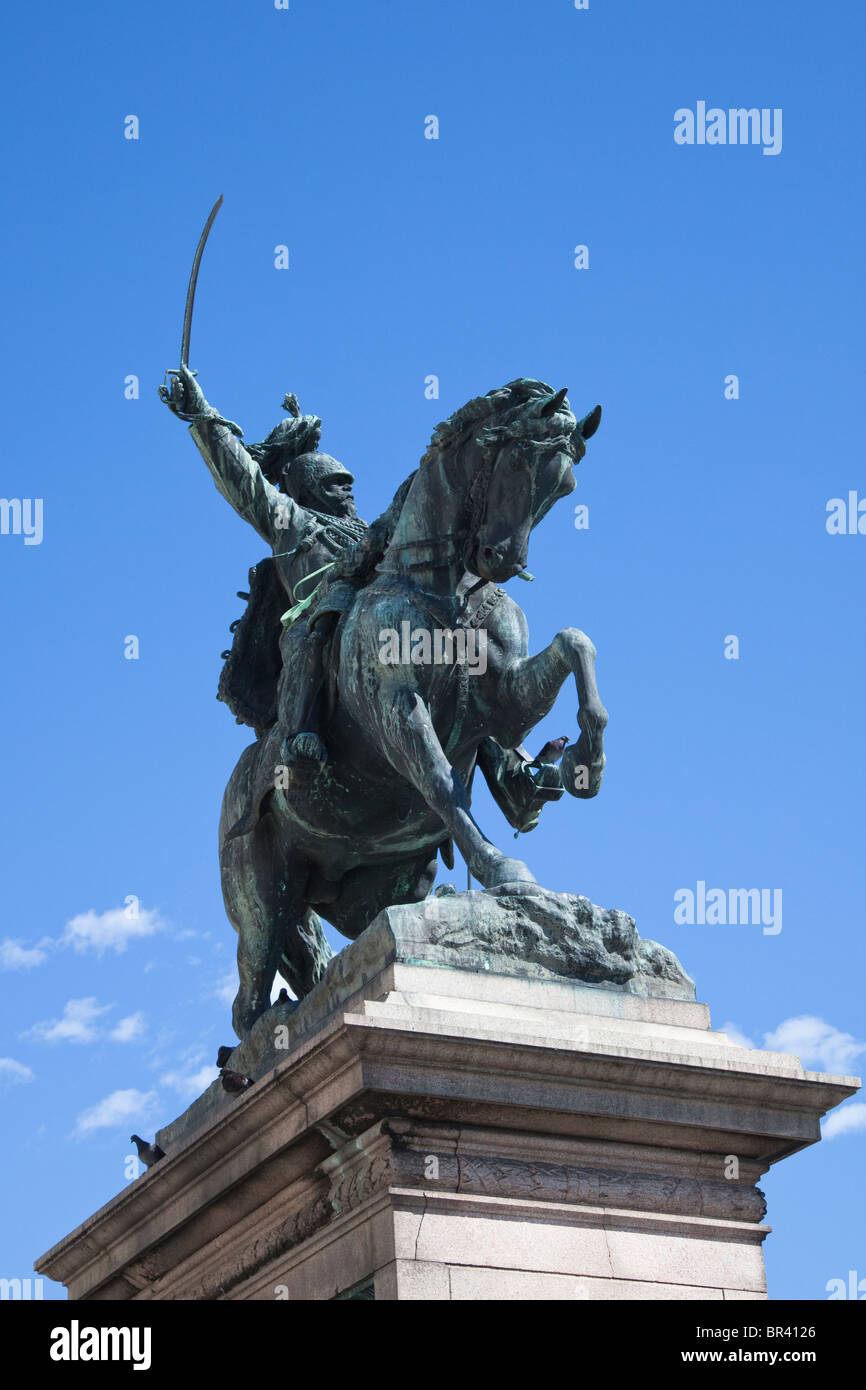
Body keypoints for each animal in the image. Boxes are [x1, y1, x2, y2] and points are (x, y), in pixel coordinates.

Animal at [219, 375, 606, 1039]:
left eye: (565, 488)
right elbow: (441, 782)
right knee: (248, 1006)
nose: (501, 561)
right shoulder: (396, 706)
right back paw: (275, 1036)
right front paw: (505, 871)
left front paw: (585, 758)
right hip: (261, 899)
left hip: (374, 885)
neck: (439, 586)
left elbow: (575, 643)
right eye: (520, 464)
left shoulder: (504, 701)